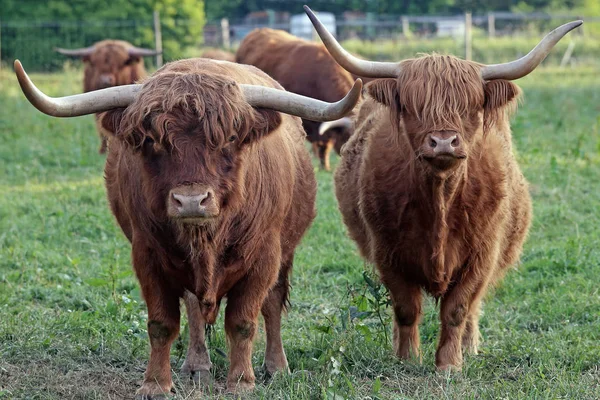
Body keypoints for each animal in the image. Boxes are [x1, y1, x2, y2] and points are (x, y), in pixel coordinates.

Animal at [14, 57, 360, 396]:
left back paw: (276, 367)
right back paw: (197, 366)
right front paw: (155, 383)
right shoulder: (146, 255)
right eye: (152, 141)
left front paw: (241, 382)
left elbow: (243, 321)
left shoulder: (265, 256)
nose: (192, 201)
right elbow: (161, 323)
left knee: (272, 303)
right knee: (194, 307)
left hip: (285, 251)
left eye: (230, 138)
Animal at [304, 5, 580, 368]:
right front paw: (407, 358)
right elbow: (406, 308)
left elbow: (457, 309)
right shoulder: (387, 252)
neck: (441, 198)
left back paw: (470, 347)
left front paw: (450, 363)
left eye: (471, 106)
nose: (444, 142)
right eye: (412, 105)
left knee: (473, 310)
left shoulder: (482, 255)